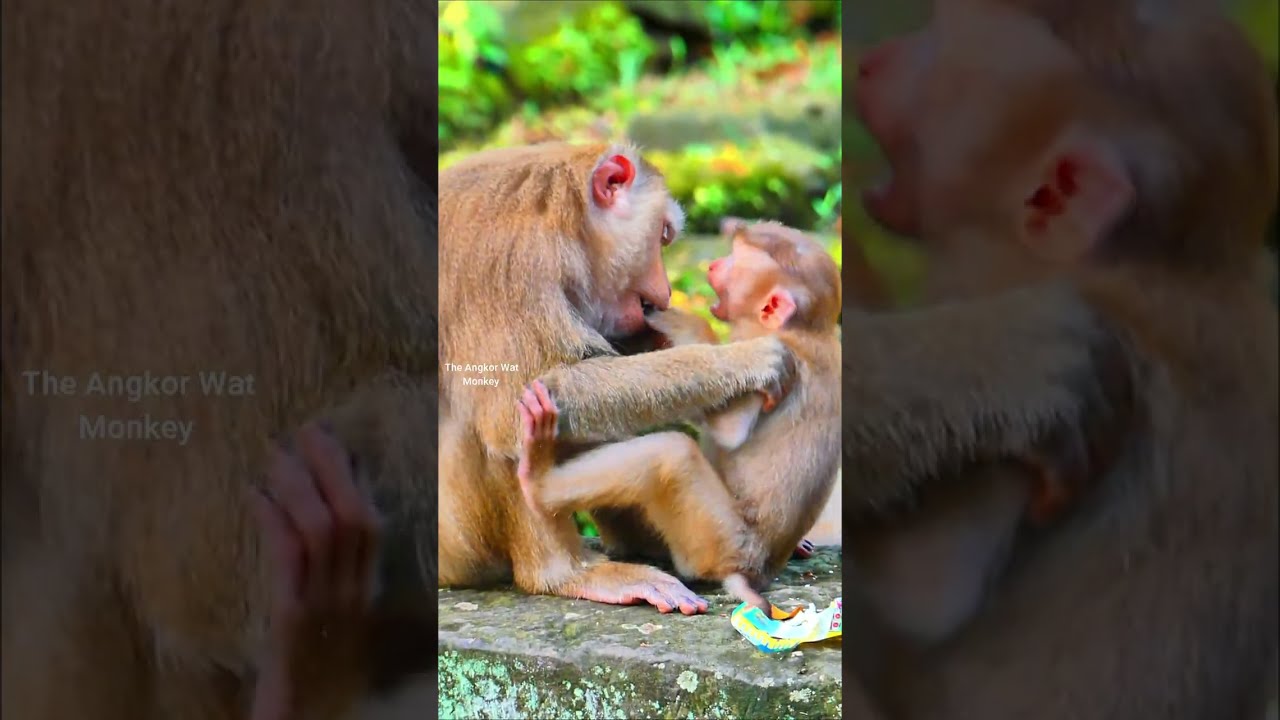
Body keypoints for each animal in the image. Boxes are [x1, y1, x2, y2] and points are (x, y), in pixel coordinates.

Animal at [437, 142, 800, 616]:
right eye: (663, 235)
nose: (665, 294)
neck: (566, 220)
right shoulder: (514, 260)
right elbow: (509, 404)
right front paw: (739, 360)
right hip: (457, 543)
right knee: (512, 415)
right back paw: (564, 573)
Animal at [511, 219, 841, 609]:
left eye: (736, 261)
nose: (714, 265)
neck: (809, 330)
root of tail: (751, 571)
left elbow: (729, 428)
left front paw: (680, 321)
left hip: (717, 538)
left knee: (671, 455)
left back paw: (537, 480)